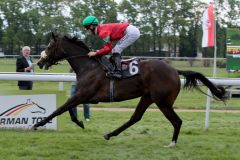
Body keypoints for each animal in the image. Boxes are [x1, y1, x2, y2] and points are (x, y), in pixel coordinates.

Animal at [34, 33, 227, 148]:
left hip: (163, 101)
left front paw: (38, 124)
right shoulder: (84, 96)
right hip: (148, 97)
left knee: (177, 121)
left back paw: (172, 143)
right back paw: (109, 134)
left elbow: (60, 108)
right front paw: (80, 122)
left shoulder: (83, 94)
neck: (89, 66)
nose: (40, 62)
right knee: (135, 117)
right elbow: (68, 108)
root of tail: (174, 70)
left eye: (50, 46)